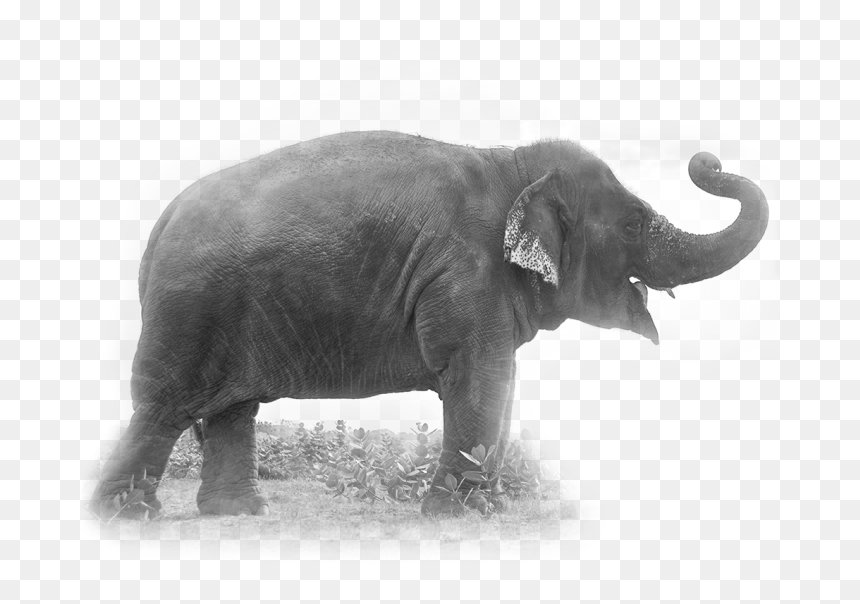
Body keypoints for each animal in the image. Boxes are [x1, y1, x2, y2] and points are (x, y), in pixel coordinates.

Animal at [90, 131, 768, 518]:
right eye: (631, 222)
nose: (705, 160)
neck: (512, 164)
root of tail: (162, 222)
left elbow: (499, 379)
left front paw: (477, 510)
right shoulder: (465, 271)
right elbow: (478, 374)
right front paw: (453, 517)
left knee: (233, 409)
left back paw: (234, 515)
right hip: (189, 308)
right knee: (163, 405)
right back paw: (123, 517)